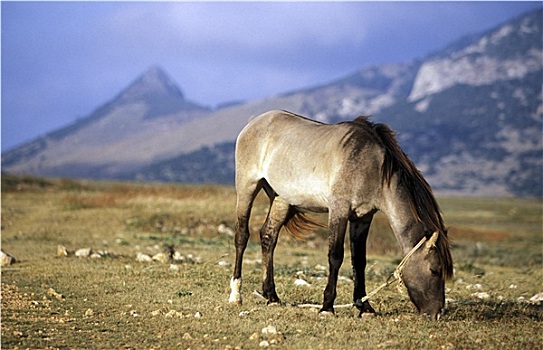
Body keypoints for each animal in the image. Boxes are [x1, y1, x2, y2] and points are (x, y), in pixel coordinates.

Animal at [230, 109, 454, 320]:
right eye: (435, 270)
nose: (437, 313)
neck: (372, 166)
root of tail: (255, 122)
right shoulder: (339, 210)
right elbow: (335, 256)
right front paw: (327, 307)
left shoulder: (362, 217)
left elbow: (359, 261)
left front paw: (365, 307)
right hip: (247, 187)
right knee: (242, 236)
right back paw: (236, 295)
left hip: (281, 199)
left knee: (268, 237)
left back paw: (272, 297)